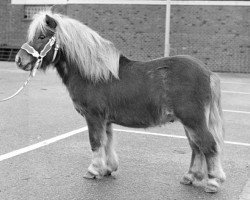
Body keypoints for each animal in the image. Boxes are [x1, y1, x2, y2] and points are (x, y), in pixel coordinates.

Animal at [15, 10, 227, 192]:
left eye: (41, 37)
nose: (19, 60)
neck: (94, 74)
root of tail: (208, 72)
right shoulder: (105, 120)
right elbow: (107, 142)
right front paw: (108, 169)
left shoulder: (94, 117)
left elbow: (95, 142)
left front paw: (93, 170)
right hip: (190, 122)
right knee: (196, 147)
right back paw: (190, 176)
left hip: (193, 120)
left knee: (208, 145)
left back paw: (213, 182)